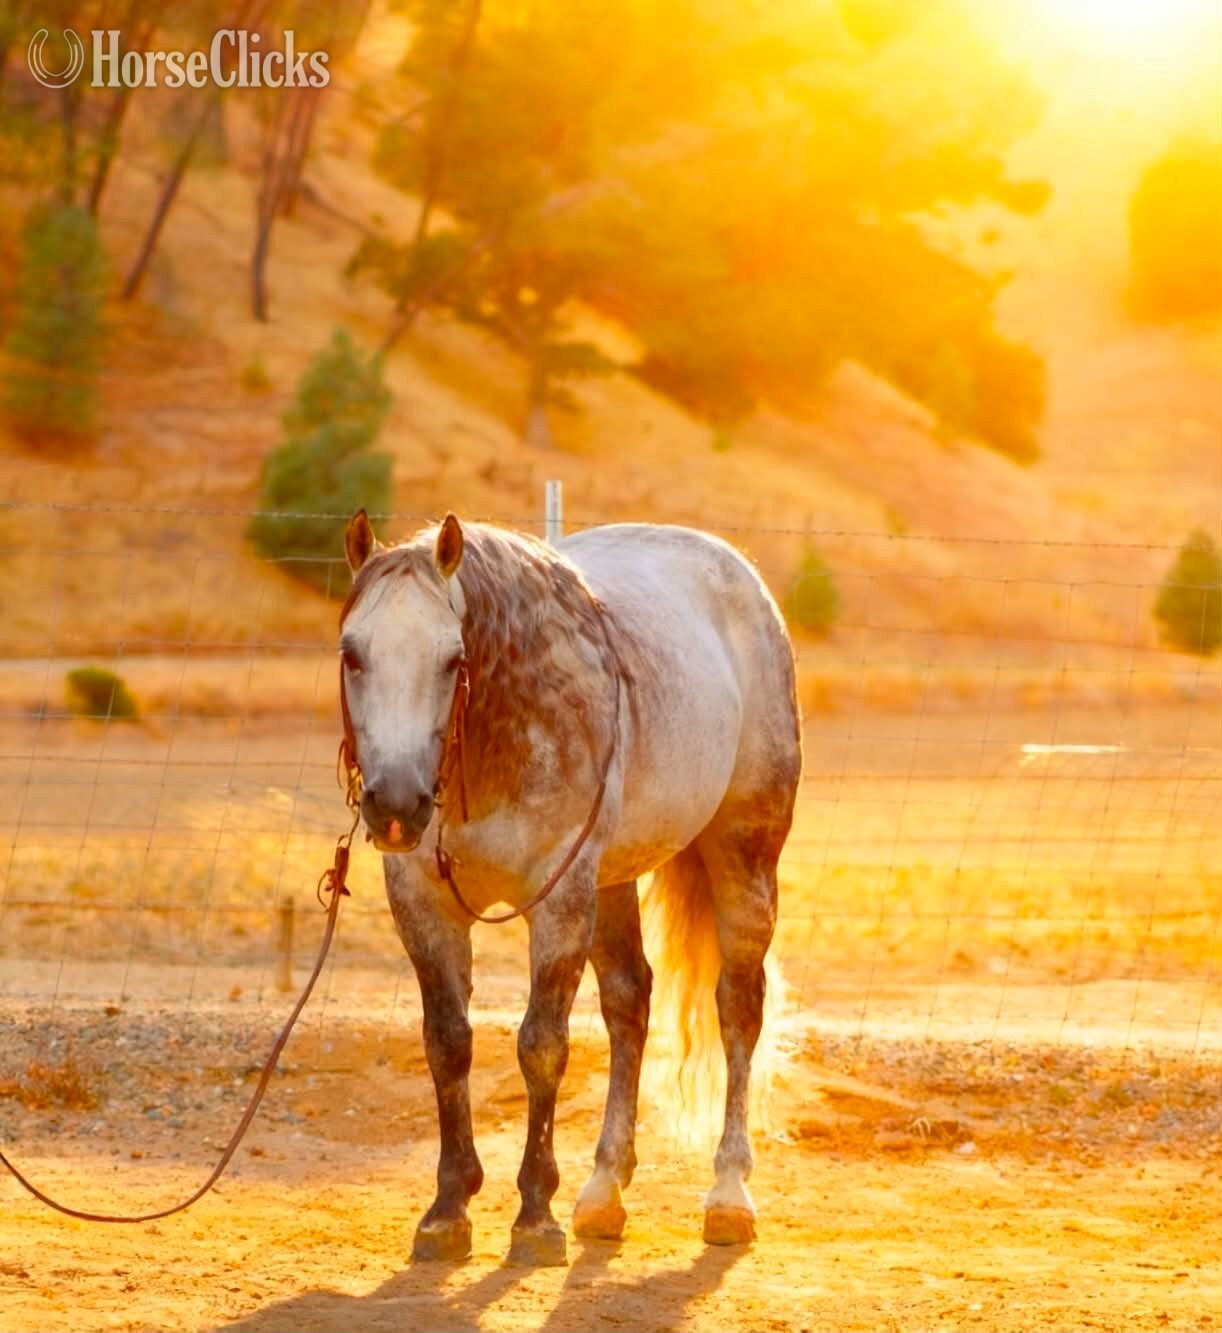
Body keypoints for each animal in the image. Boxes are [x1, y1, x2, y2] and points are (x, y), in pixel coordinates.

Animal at [338, 509, 801, 1266]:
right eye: (353, 654)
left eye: (452, 659)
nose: (398, 803)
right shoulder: (424, 905)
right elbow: (448, 1043)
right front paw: (449, 1207)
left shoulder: (558, 899)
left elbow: (541, 1045)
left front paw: (534, 1214)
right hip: (611, 881)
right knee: (629, 1004)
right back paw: (604, 1190)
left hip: (742, 853)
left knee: (738, 1008)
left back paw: (729, 1194)